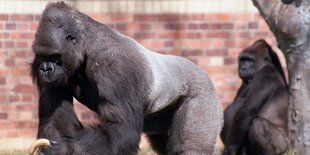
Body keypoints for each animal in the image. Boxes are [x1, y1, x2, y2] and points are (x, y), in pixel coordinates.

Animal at [29, 1, 223, 155]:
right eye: (42, 56)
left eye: (54, 56)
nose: (45, 69)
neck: (86, 46)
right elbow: (54, 120)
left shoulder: (115, 69)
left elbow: (120, 129)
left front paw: (64, 149)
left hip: (202, 94)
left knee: (192, 149)